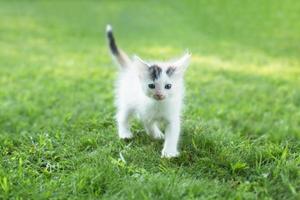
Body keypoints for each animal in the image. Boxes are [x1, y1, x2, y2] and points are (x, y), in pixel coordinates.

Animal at [105, 24, 190, 158]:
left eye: (168, 86)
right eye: (151, 86)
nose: (159, 94)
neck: (159, 105)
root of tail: (130, 68)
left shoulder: (173, 116)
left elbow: (173, 133)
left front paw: (169, 152)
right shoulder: (144, 111)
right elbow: (148, 124)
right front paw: (157, 135)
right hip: (127, 100)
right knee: (122, 116)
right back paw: (125, 134)